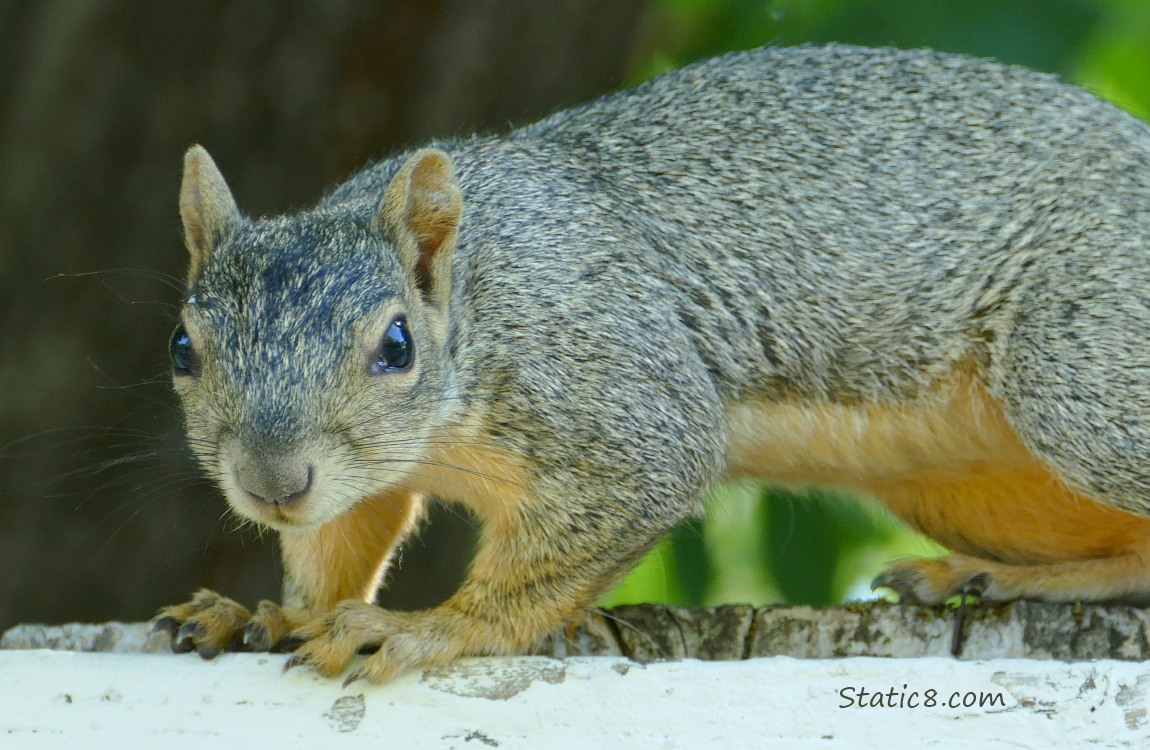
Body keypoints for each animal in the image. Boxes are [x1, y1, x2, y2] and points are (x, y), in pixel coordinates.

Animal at [154, 43, 1150, 683]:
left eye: (396, 346)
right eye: (183, 348)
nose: (272, 483)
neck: (480, 305)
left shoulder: (619, 386)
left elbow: (596, 523)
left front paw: (425, 629)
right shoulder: (365, 479)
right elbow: (338, 538)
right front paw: (274, 614)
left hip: (1080, 375)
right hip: (967, 484)